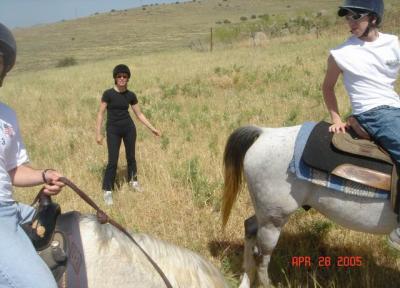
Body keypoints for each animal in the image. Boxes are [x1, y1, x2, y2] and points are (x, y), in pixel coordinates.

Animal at [220, 125, 398, 288]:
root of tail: (266, 132)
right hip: (273, 220)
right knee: (261, 255)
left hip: (265, 213)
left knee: (250, 228)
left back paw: (245, 281)